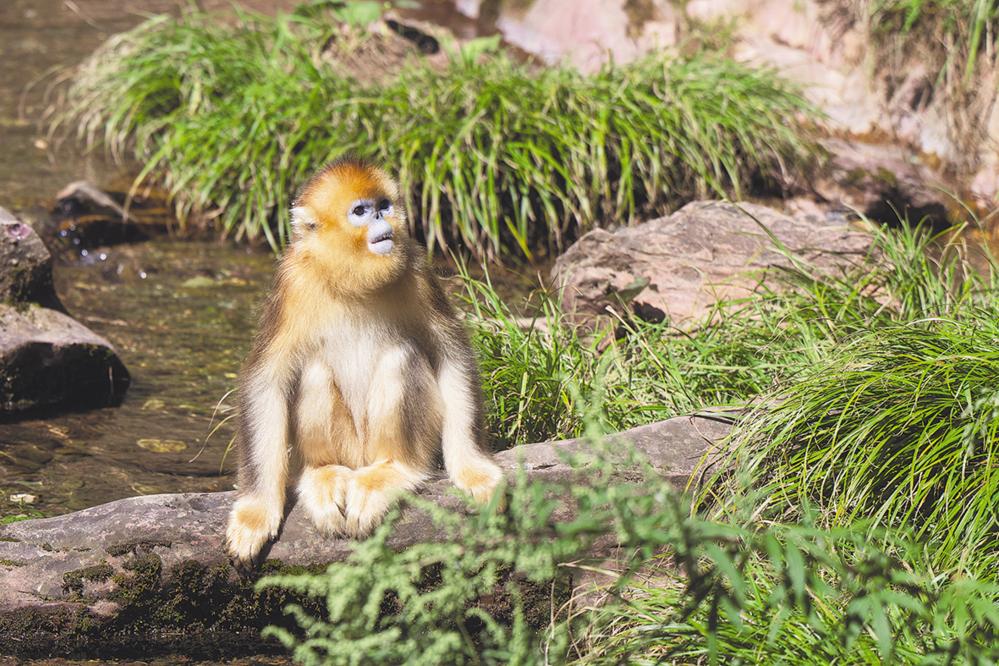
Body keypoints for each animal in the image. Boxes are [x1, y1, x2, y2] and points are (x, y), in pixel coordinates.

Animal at [224, 158, 503, 565]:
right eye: (360, 212)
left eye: (383, 205)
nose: (382, 221)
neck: (351, 280)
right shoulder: (292, 280)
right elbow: (266, 380)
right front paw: (255, 513)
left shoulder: (416, 268)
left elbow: (451, 354)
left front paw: (474, 470)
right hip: (348, 447)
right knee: (313, 370)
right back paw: (324, 473)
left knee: (400, 357)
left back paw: (390, 472)